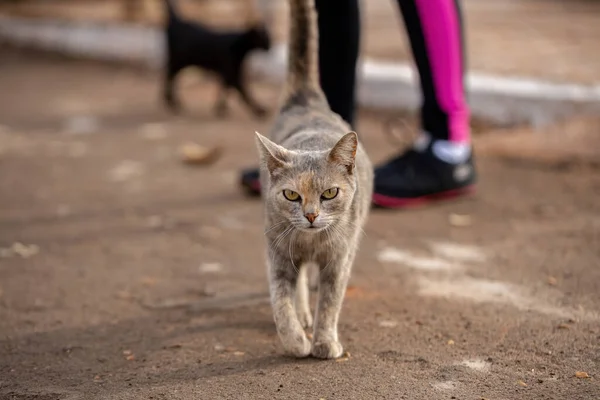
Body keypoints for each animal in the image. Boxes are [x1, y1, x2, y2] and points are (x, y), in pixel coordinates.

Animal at [254, 0, 376, 360]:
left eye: (330, 193)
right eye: (292, 195)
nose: (310, 215)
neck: (310, 243)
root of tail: (307, 99)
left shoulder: (339, 260)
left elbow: (330, 303)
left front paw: (324, 342)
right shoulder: (278, 255)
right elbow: (281, 302)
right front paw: (296, 341)